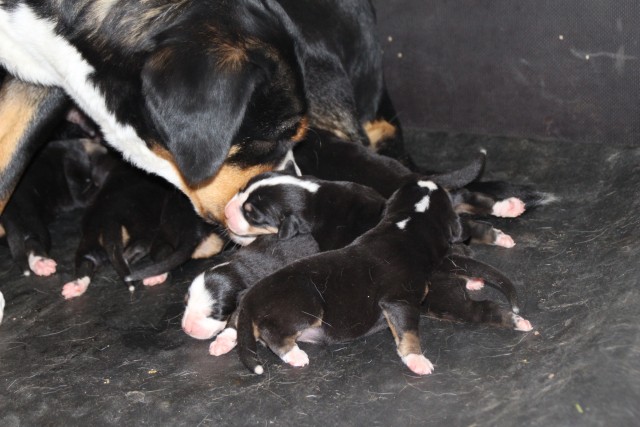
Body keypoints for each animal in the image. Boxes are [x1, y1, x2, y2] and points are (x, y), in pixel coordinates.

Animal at [231, 179, 460, 376]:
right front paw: (417, 359)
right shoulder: (400, 300)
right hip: (305, 305)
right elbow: (410, 331)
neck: (408, 225)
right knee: (273, 333)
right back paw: (295, 355)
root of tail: (250, 297)